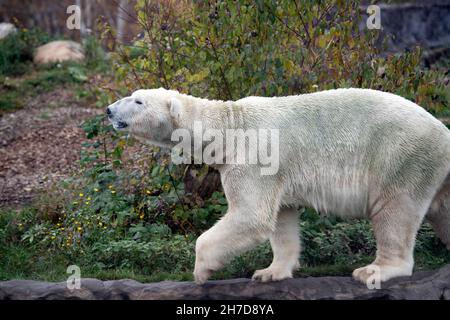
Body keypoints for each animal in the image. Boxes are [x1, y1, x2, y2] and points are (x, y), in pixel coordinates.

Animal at [106, 88, 450, 284]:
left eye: (137, 100)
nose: (109, 110)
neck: (229, 127)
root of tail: (443, 131)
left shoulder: (254, 159)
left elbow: (251, 215)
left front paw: (202, 270)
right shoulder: (277, 173)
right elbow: (281, 219)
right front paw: (269, 272)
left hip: (401, 156)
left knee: (395, 210)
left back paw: (373, 271)